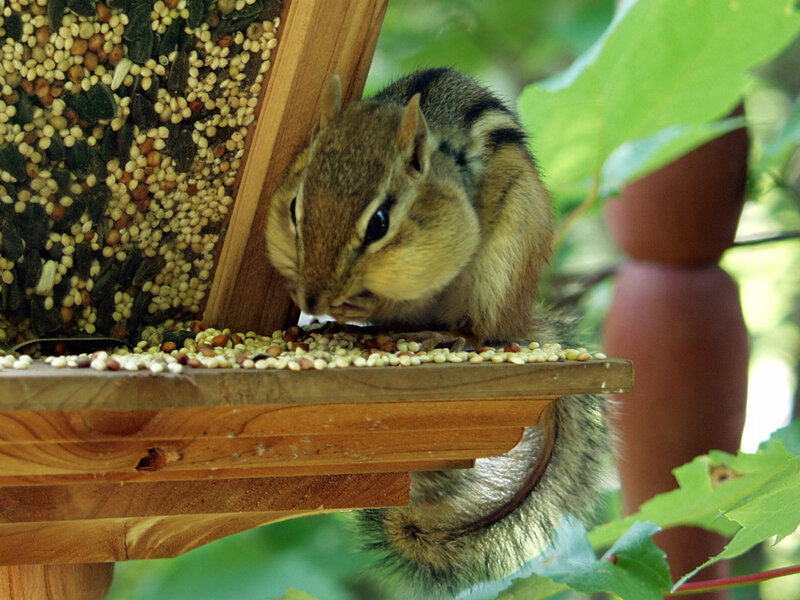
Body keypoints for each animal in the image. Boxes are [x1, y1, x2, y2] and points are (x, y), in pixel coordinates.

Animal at [265, 68, 610, 597]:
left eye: (379, 222)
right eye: (295, 207)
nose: (314, 301)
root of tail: (522, 319)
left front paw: (362, 302)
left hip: (504, 263)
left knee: (483, 331)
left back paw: (448, 336)